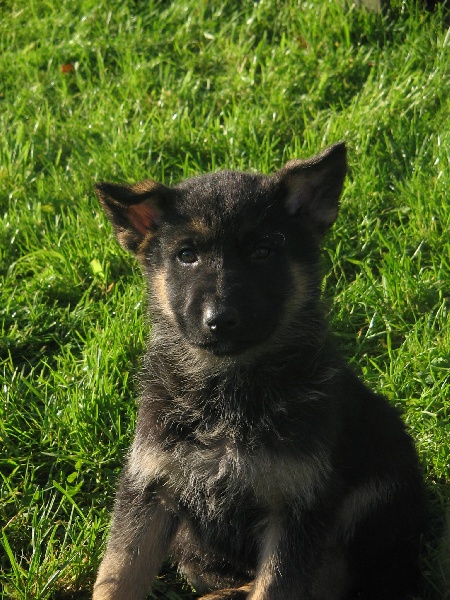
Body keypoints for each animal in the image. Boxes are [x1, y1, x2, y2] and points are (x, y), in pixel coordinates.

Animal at [92, 142, 425, 600]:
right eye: (186, 255)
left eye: (263, 252)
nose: (220, 320)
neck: (225, 390)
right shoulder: (151, 486)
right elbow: (118, 573)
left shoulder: (295, 505)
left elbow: (275, 586)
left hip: (379, 490)